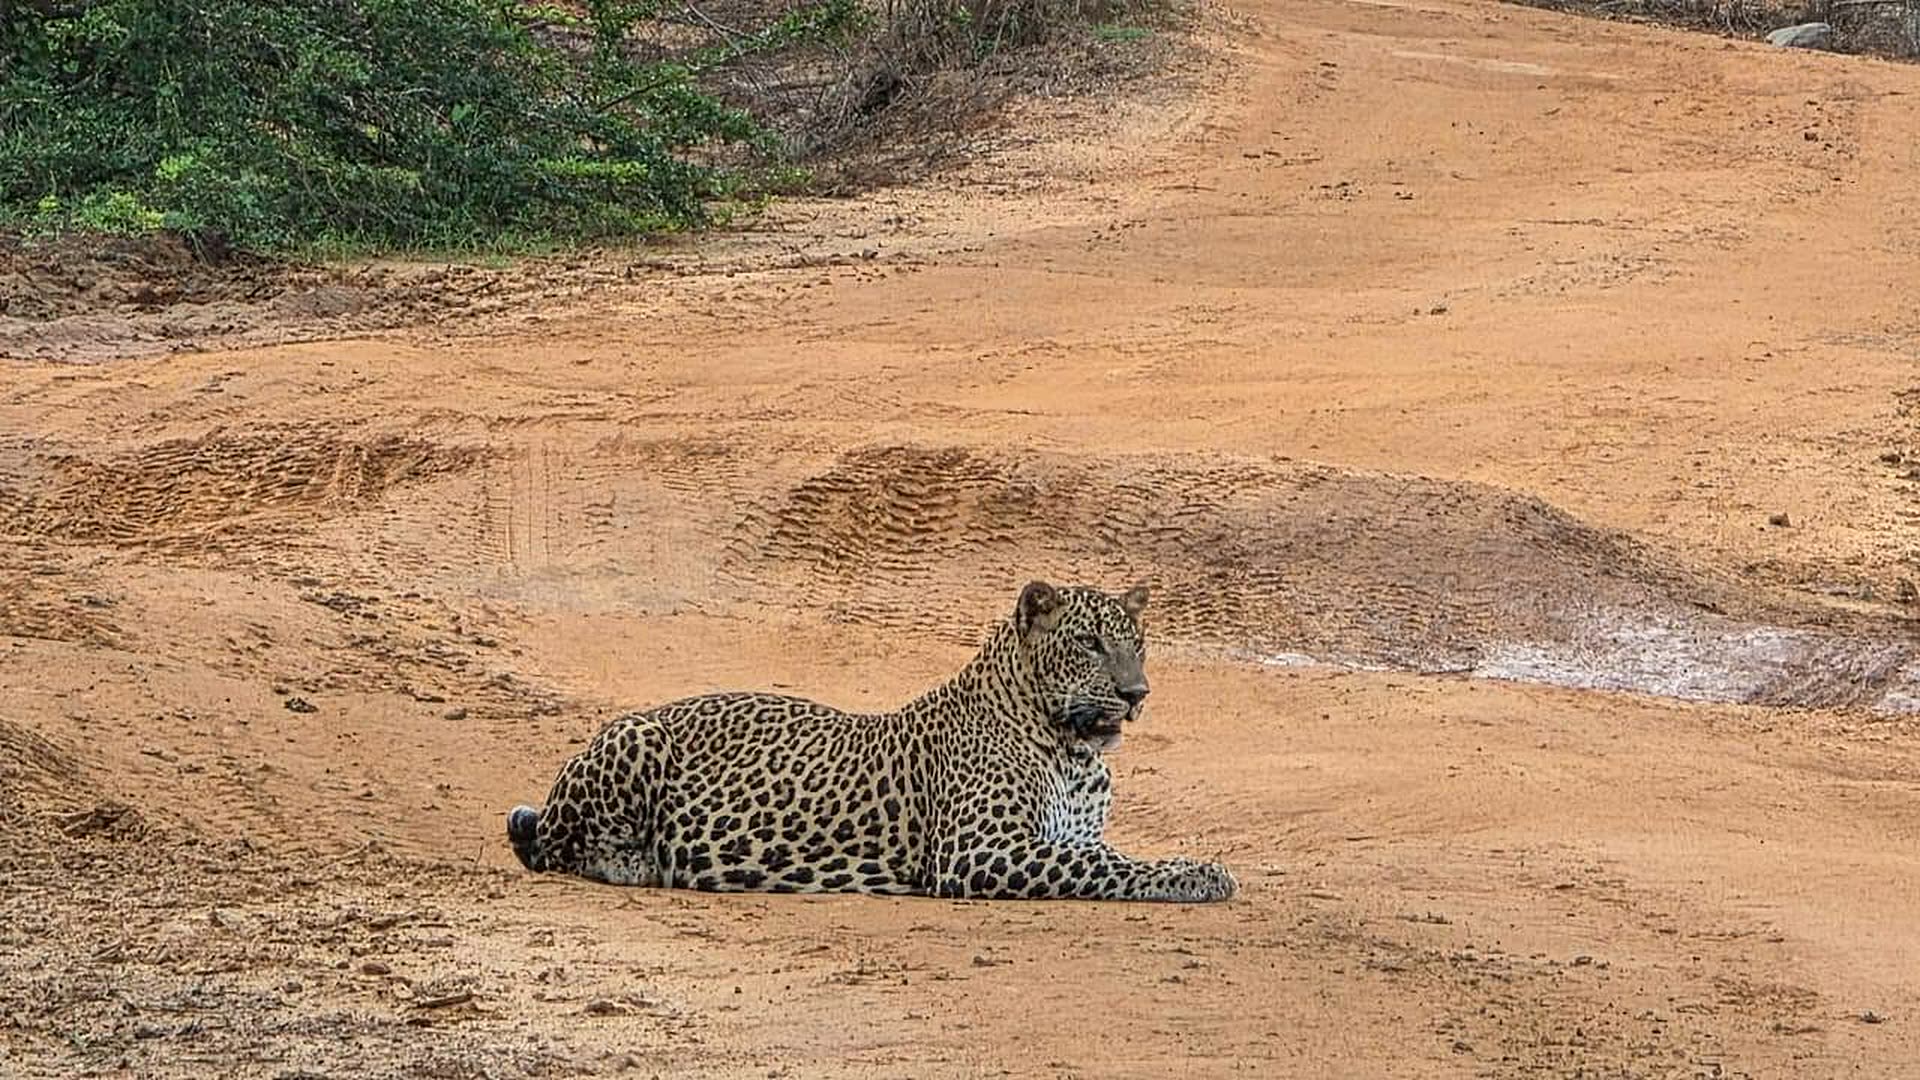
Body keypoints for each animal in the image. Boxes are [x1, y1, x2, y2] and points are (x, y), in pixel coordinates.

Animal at [505, 579, 1237, 902]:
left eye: (1138, 643)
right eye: (1089, 643)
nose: (1137, 694)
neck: (1073, 750)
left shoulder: (1060, 835)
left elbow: (1103, 854)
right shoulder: (980, 851)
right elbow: (1105, 867)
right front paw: (1198, 873)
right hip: (637, 737)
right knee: (556, 848)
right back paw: (645, 863)